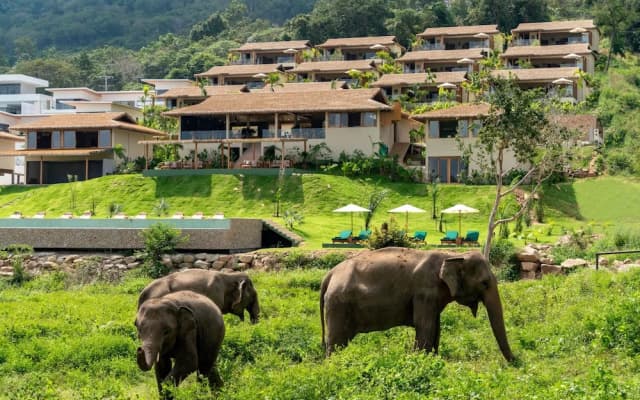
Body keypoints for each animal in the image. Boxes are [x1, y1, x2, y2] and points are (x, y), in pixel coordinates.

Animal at [320, 247, 514, 362]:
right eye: (484, 283)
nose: (515, 362)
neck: (452, 255)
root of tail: (330, 273)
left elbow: (436, 327)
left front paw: (434, 360)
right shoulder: (424, 292)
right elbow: (425, 326)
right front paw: (422, 361)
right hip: (339, 304)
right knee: (336, 341)